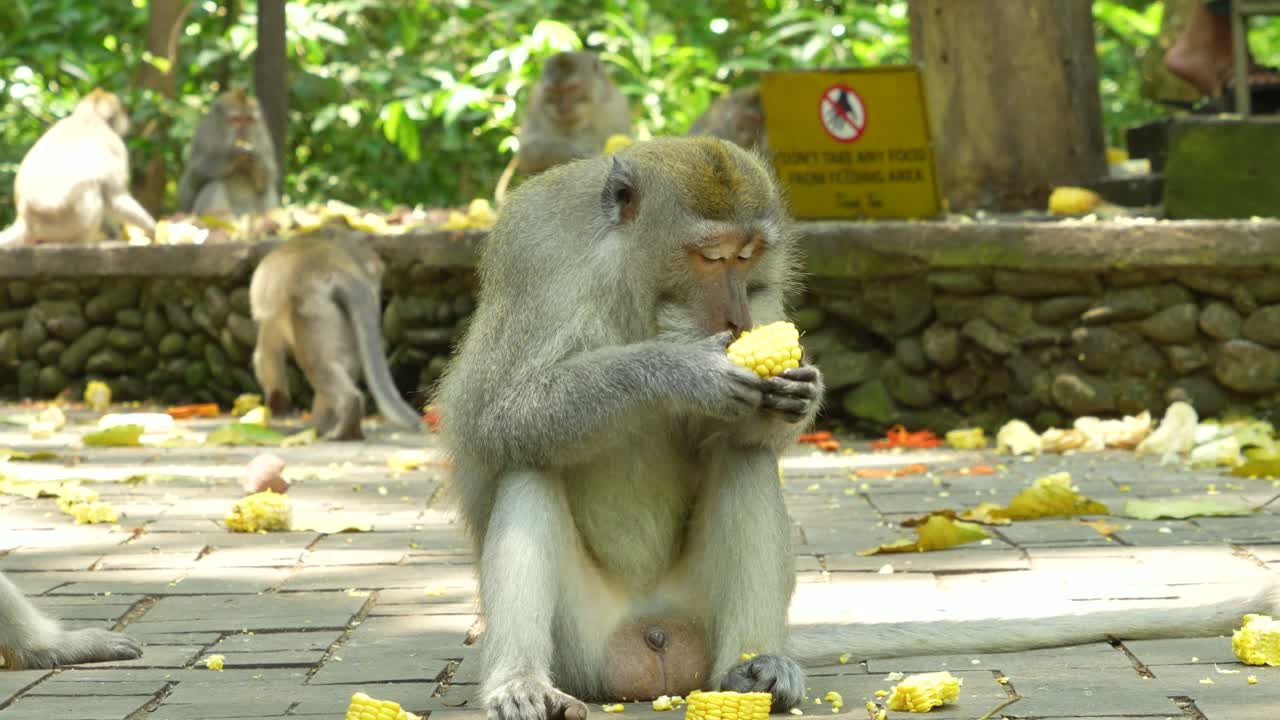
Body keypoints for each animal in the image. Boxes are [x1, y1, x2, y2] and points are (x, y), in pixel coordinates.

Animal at [0, 89, 156, 246]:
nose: (127, 119)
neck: (89, 116)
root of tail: (25, 221)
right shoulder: (115, 145)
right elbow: (116, 197)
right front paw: (151, 229)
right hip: (64, 222)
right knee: (90, 185)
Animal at [249, 236, 423, 441]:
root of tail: (334, 269)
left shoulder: (271, 319)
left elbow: (267, 355)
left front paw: (278, 407)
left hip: (312, 308)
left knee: (316, 363)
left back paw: (343, 421)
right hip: (339, 317)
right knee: (341, 362)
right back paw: (332, 426)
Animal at [435, 135, 1280, 720]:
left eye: (748, 256)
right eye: (708, 256)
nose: (737, 315)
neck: (636, 285)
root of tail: (655, 646)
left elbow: (746, 435)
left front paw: (797, 393)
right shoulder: (542, 259)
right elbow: (502, 414)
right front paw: (684, 370)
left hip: (698, 615)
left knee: (744, 459)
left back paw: (754, 671)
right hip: (581, 642)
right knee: (531, 466)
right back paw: (521, 682)